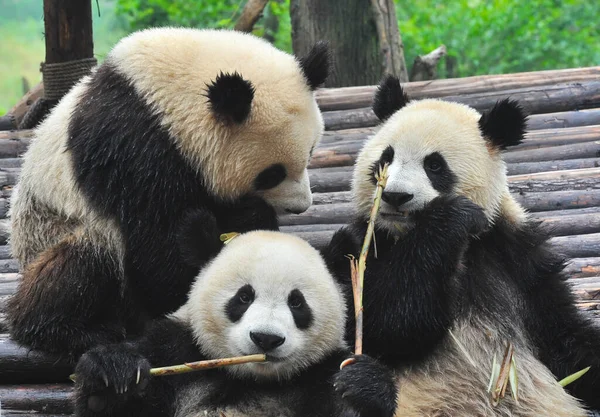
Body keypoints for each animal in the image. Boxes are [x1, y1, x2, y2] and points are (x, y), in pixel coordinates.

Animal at [5, 27, 332, 358]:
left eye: (311, 152)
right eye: (272, 174)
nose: (300, 207)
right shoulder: (135, 148)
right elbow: (157, 250)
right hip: (52, 227)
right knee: (81, 266)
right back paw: (76, 329)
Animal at [72, 224, 396, 416]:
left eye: (296, 302)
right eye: (244, 297)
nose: (266, 338)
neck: (252, 379)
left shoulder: (319, 372)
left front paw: (362, 385)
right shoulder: (177, 348)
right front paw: (114, 374)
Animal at [324, 75, 600, 416]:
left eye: (435, 166)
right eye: (386, 158)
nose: (395, 196)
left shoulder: (518, 258)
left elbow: (565, 338)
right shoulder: (362, 244)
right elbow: (383, 319)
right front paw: (453, 216)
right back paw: (368, 388)